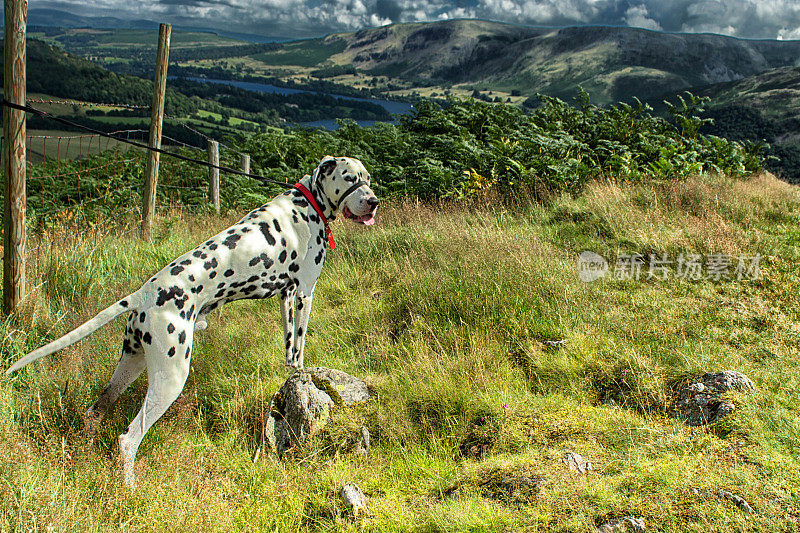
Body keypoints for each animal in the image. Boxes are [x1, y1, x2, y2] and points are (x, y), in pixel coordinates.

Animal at [4, 155, 378, 486]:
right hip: (170, 378)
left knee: (96, 410)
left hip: (132, 365)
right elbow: (299, 347)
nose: (373, 201)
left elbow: (288, 349)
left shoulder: (286, 296)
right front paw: (304, 374)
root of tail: (142, 295)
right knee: (129, 438)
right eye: (350, 178)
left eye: (367, 178)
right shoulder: (304, 293)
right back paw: (131, 489)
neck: (308, 202)